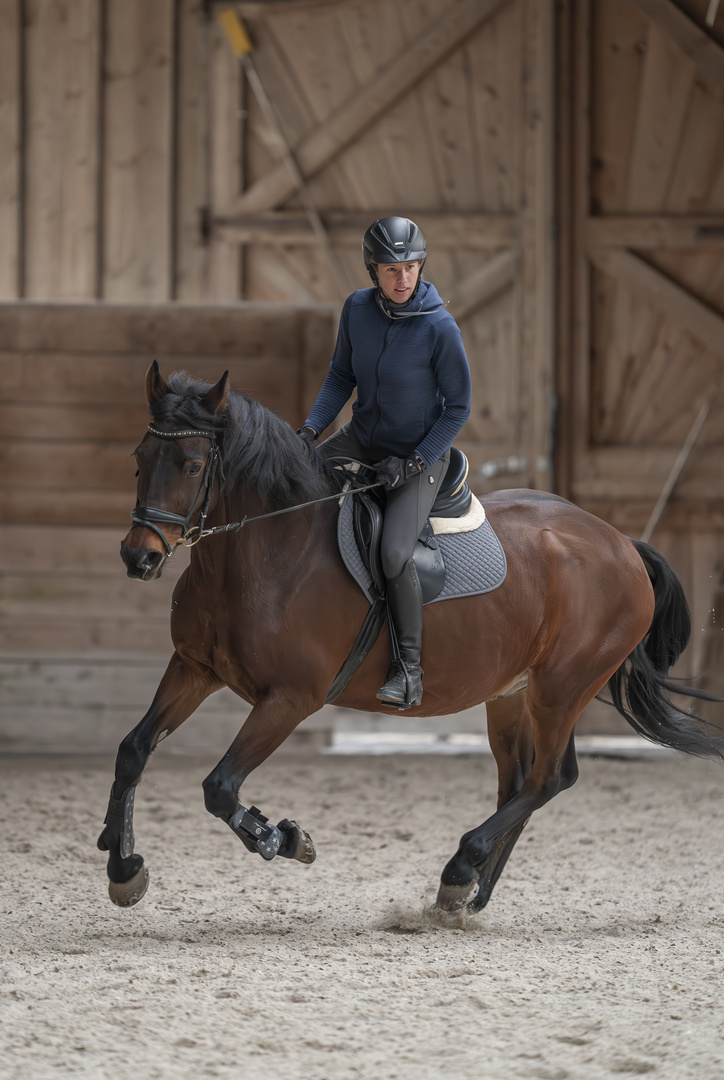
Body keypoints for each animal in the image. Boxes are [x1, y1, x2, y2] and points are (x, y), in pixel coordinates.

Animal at [97, 362, 724, 911]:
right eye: (140, 458)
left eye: (192, 466)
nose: (137, 557)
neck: (266, 552)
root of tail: (620, 542)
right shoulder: (194, 668)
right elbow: (132, 750)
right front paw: (123, 868)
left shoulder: (291, 699)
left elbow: (220, 786)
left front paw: (284, 838)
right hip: (513, 693)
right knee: (519, 780)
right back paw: (469, 896)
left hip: (563, 689)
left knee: (550, 777)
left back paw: (461, 869)